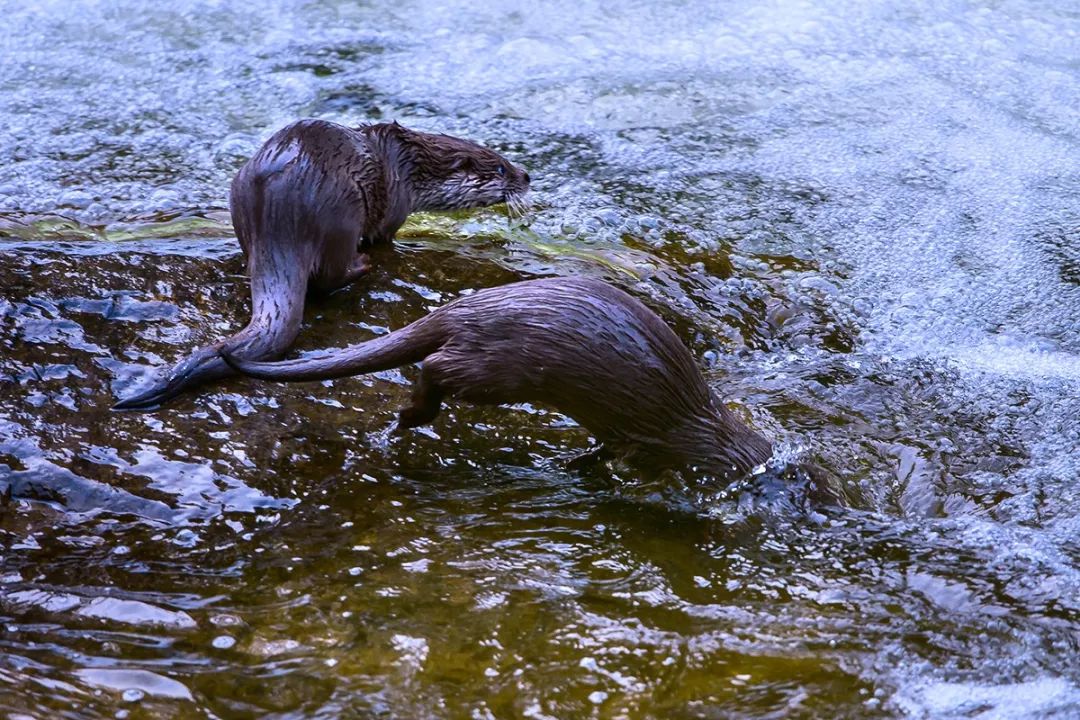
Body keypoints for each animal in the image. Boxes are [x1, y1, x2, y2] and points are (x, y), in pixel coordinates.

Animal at [112, 118, 527, 410]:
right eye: (501, 168)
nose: (527, 175)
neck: (409, 165)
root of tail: (279, 215)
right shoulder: (397, 205)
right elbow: (386, 235)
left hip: (238, 198)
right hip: (343, 215)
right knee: (331, 276)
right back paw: (361, 266)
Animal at [221, 278, 777, 483]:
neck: (703, 427)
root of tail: (462, 308)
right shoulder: (648, 436)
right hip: (499, 368)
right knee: (435, 368)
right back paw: (410, 416)